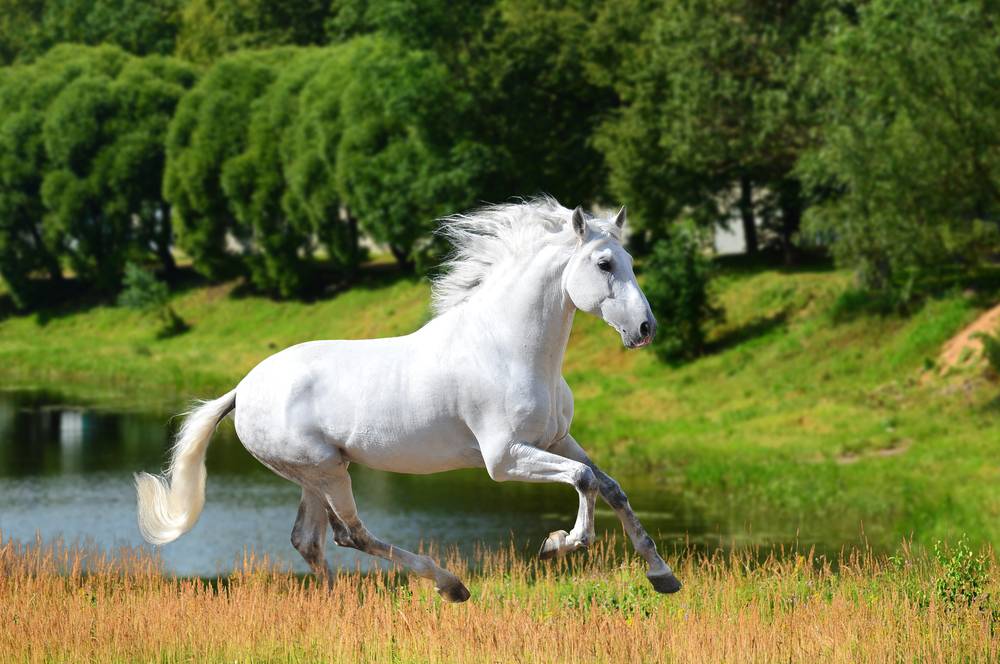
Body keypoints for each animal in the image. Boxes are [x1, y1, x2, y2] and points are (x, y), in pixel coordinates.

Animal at [135, 197, 680, 600]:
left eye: (631, 262)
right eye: (604, 263)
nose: (645, 329)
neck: (508, 348)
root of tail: (243, 390)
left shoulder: (557, 439)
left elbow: (611, 487)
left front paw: (662, 576)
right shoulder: (504, 459)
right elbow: (584, 481)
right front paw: (560, 543)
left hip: (314, 474)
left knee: (310, 540)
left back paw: (339, 606)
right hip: (325, 470)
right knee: (349, 533)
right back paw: (450, 585)